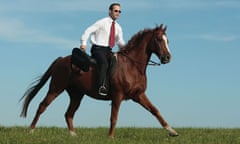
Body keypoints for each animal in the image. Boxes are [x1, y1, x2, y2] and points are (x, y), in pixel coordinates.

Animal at [20, 24, 178, 138]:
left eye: (168, 40)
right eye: (158, 39)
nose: (167, 58)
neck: (132, 66)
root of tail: (60, 60)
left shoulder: (138, 95)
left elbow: (155, 111)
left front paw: (172, 131)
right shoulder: (117, 95)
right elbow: (114, 117)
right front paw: (110, 137)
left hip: (76, 95)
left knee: (69, 114)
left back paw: (73, 135)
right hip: (56, 88)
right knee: (42, 106)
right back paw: (31, 131)